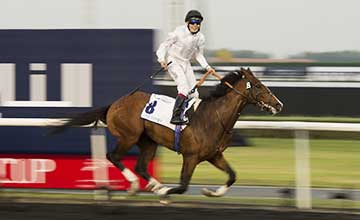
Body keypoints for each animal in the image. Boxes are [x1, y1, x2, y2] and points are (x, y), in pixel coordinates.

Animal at [50, 67, 282, 198]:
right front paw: (165, 193)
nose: (278, 104)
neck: (213, 118)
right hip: (129, 136)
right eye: (259, 86)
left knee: (141, 165)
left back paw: (153, 184)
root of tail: (115, 104)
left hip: (149, 141)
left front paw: (211, 192)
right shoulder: (191, 156)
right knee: (113, 156)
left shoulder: (214, 155)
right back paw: (137, 185)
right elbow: (182, 185)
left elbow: (232, 175)